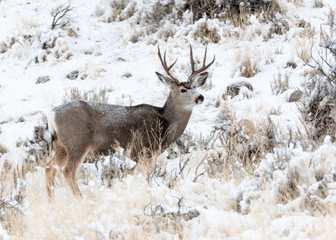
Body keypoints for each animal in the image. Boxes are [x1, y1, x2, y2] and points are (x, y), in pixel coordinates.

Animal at [44, 45, 215, 197]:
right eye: (183, 90)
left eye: (195, 86)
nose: (200, 97)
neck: (164, 123)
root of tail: (52, 114)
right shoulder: (140, 150)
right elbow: (140, 176)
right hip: (77, 143)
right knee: (67, 171)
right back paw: (79, 198)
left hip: (61, 146)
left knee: (49, 167)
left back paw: (51, 200)